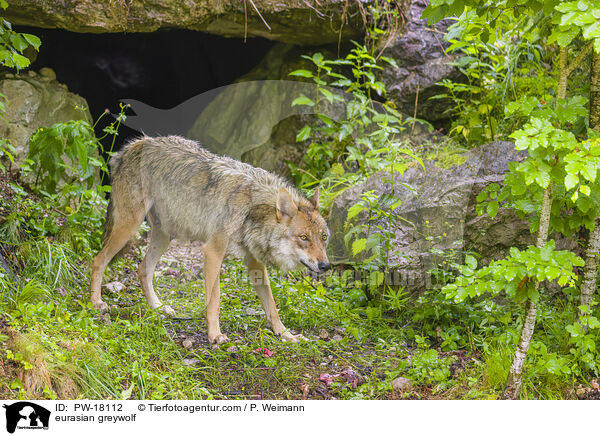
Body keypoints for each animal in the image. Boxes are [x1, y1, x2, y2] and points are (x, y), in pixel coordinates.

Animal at [91, 136, 330, 344]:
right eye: (304, 237)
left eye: (324, 237)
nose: (326, 266)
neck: (252, 208)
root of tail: (133, 145)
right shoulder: (213, 251)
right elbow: (214, 299)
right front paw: (215, 335)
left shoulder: (254, 262)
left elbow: (271, 305)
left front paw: (285, 334)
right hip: (129, 228)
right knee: (98, 260)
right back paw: (96, 303)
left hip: (164, 236)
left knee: (143, 269)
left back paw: (158, 307)